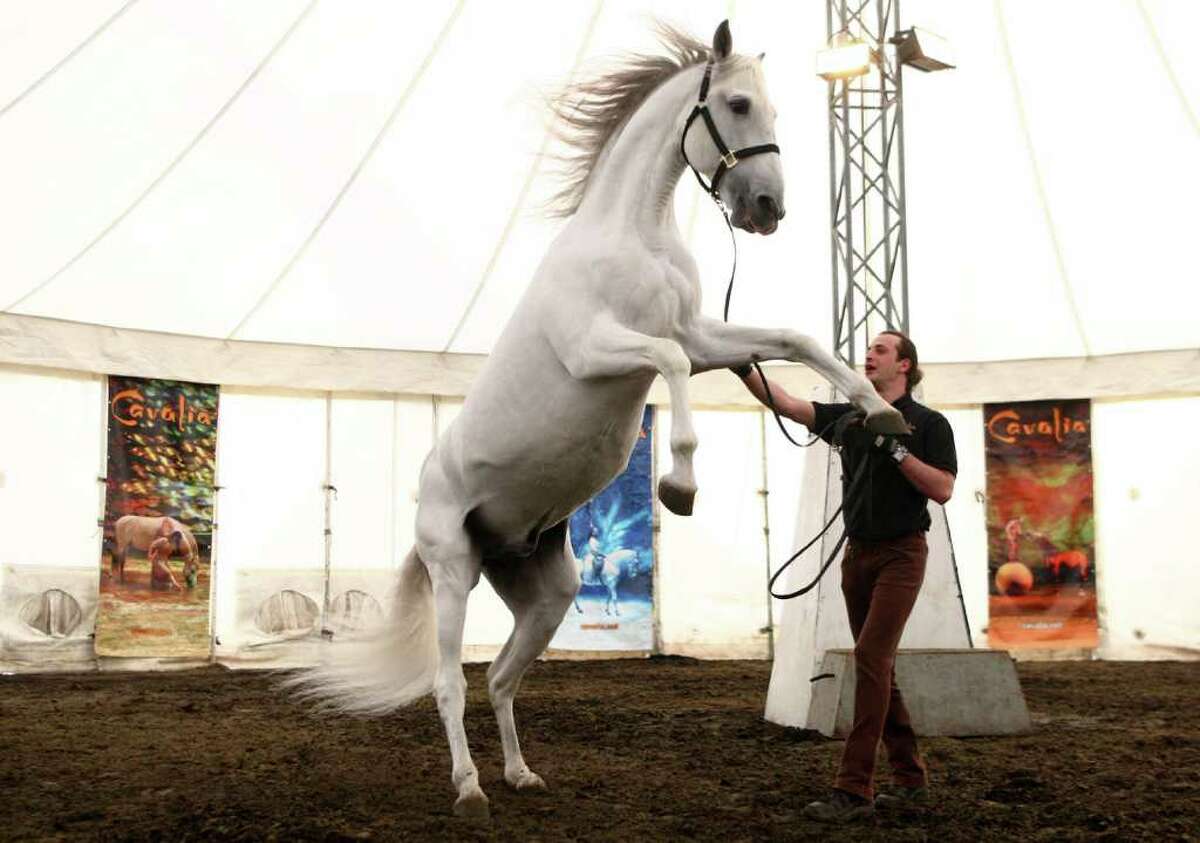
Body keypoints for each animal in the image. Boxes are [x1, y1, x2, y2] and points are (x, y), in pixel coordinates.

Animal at [288, 23, 902, 821]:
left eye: (773, 110)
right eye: (737, 104)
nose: (767, 207)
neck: (635, 235)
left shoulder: (704, 337)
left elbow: (795, 341)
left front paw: (883, 411)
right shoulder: (605, 350)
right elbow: (669, 366)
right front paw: (679, 484)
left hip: (547, 595)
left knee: (501, 679)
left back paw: (520, 775)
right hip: (453, 573)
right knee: (450, 682)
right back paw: (470, 788)